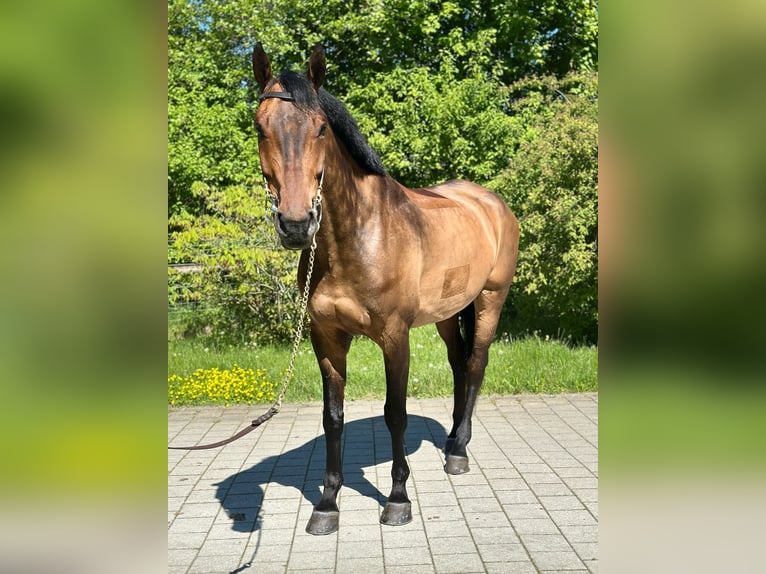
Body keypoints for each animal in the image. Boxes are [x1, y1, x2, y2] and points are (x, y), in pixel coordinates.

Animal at [252, 43, 519, 535]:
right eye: (261, 128)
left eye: (321, 128)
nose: (296, 224)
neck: (358, 236)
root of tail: (489, 201)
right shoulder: (327, 339)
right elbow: (333, 418)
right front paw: (327, 505)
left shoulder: (395, 337)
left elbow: (396, 413)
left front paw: (397, 499)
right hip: (448, 313)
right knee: (458, 363)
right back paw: (450, 441)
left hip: (490, 300)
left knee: (476, 363)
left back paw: (459, 451)